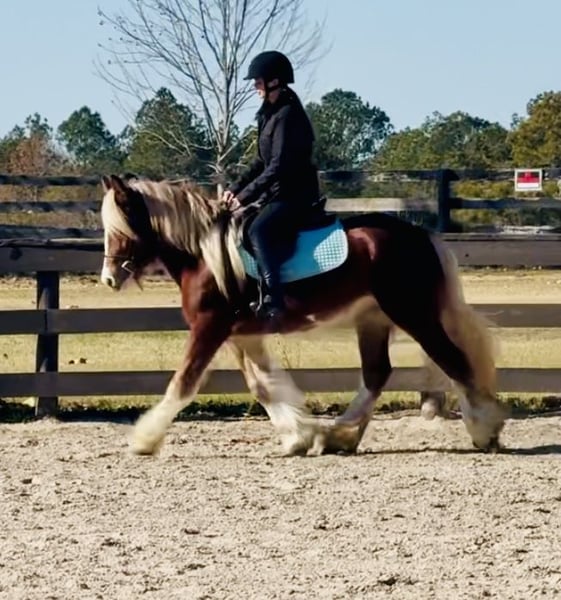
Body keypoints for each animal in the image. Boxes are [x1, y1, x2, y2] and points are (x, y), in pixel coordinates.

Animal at [99, 174, 508, 456]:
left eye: (121, 227)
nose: (109, 278)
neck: (204, 255)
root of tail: (421, 235)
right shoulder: (241, 334)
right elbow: (261, 386)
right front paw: (297, 436)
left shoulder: (209, 327)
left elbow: (183, 384)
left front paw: (144, 439)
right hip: (373, 320)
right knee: (377, 374)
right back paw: (337, 436)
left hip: (413, 314)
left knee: (452, 360)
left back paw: (484, 429)